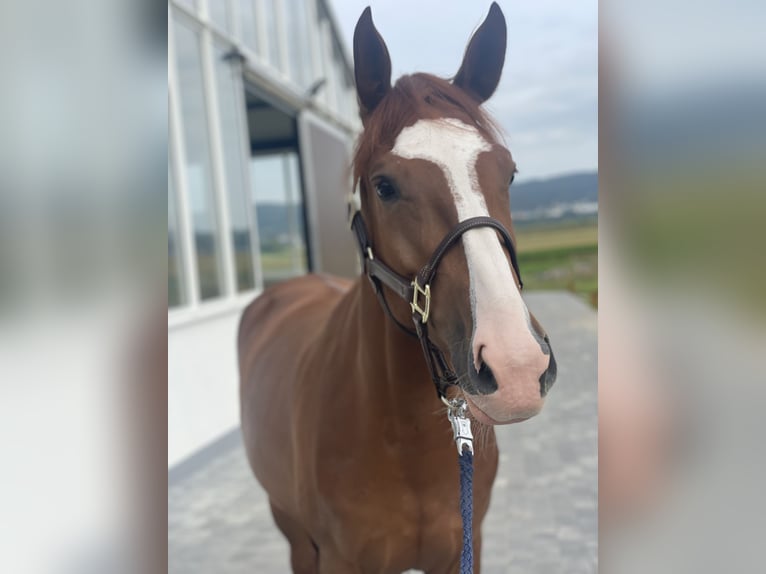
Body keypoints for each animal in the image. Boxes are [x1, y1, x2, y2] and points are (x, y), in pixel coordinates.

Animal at [238, 3, 560, 572]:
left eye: (510, 173)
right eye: (384, 186)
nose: (517, 366)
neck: (406, 440)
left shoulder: (464, 547)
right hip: (294, 533)